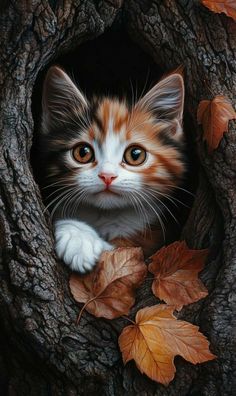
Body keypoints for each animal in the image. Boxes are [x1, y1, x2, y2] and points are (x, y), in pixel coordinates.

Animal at [39, 66, 185, 274]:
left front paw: (82, 241)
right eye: (82, 153)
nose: (107, 176)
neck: (106, 215)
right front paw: (78, 236)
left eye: (135, 155)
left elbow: (122, 252)